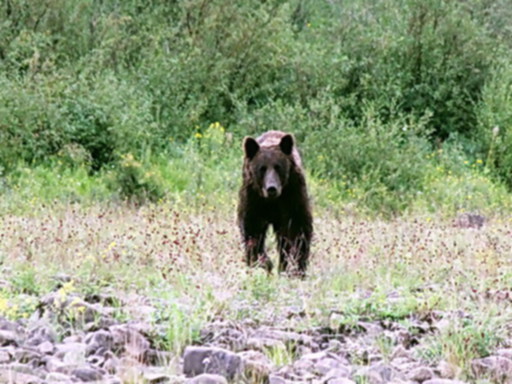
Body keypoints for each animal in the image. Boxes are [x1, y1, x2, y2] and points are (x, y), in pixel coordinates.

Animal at [239, 130, 314, 274]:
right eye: (262, 168)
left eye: (278, 167)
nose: (271, 188)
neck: (272, 201)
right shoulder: (253, 198)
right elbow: (252, 229)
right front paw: (263, 262)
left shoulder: (292, 195)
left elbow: (297, 229)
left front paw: (295, 266)